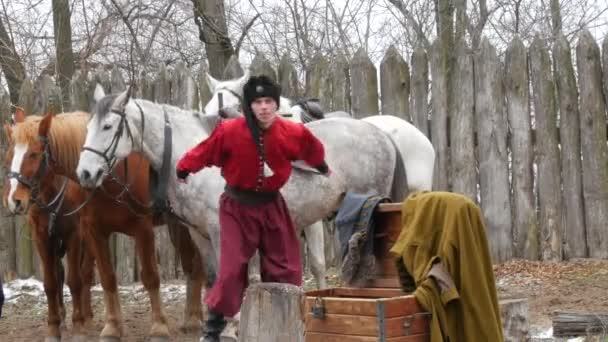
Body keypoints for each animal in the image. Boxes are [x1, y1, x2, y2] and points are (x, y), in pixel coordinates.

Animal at [2, 111, 208, 340]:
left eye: (34, 154)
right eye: (8, 156)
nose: (13, 200)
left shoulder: (139, 230)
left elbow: (150, 277)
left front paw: (159, 327)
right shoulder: (84, 232)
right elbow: (100, 278)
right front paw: (109, 327)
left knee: (197, 265)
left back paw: (194, 319)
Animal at [77, 86, 404, 340]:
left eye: (108, 127)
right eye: (89, 127)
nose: (85, 173)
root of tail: (382, 136)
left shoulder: (220, 230)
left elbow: (230, 274)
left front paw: (231, 328)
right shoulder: (199, 234)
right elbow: (212, 277)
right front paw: (213, 327)